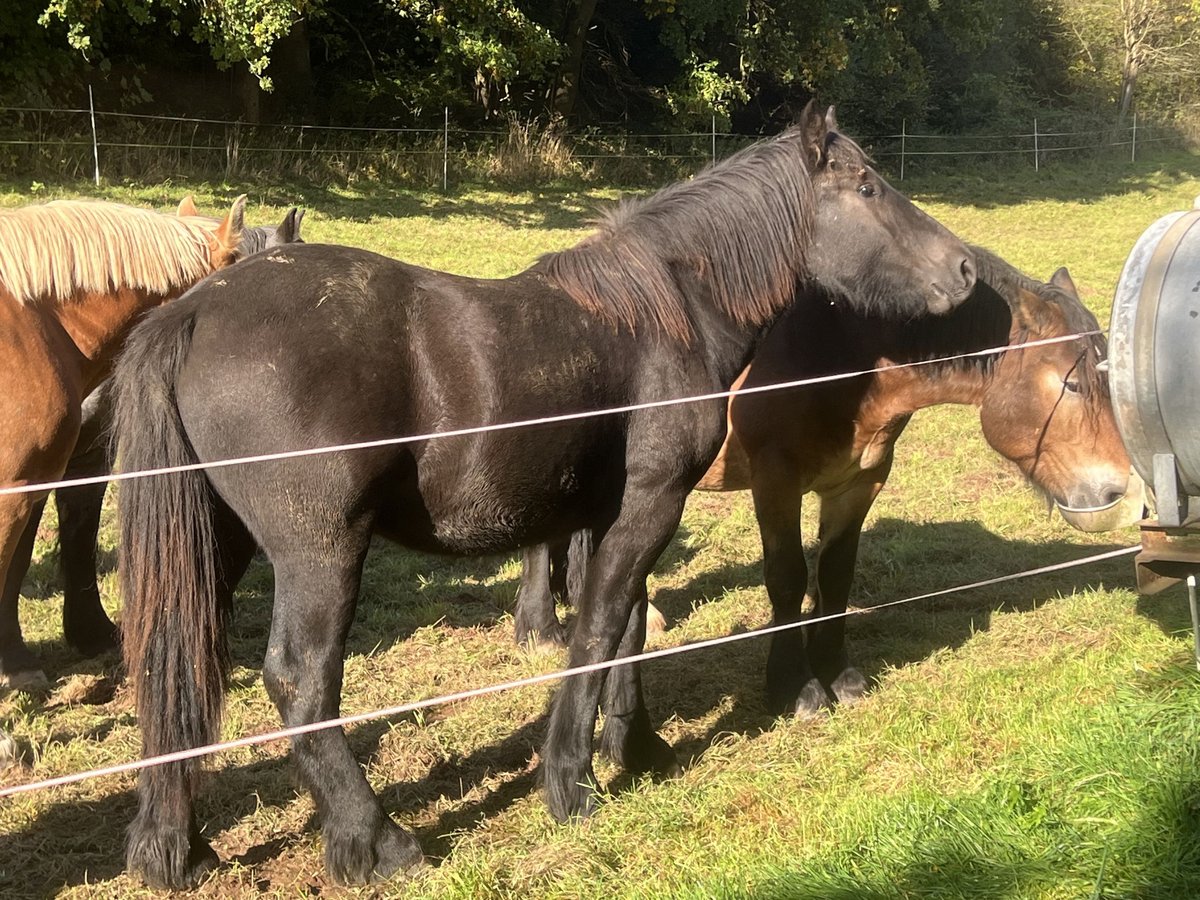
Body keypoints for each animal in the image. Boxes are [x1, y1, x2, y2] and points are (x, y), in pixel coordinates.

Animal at [112, 103, 976, 888]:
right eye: (867, 186)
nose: (966, 269)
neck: (664, 314)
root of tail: (193, 310)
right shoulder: (650, 505)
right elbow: (594, 633)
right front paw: (573, 783)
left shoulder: (611, 517)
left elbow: (629, 626)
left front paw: (638, 748)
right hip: (320, 554)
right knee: (300, 680)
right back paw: (376, 842)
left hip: (216, 547)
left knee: (175, 669)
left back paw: (175, 851)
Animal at [513, 245, 1141, 719]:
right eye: (1073, 383)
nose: (1123, 496)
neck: (843, 351)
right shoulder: (776, 481)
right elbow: (788, 577)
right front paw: (795, 686)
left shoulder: (860, 481)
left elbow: (835, 573)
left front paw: (838, 673)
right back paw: (541, 627)